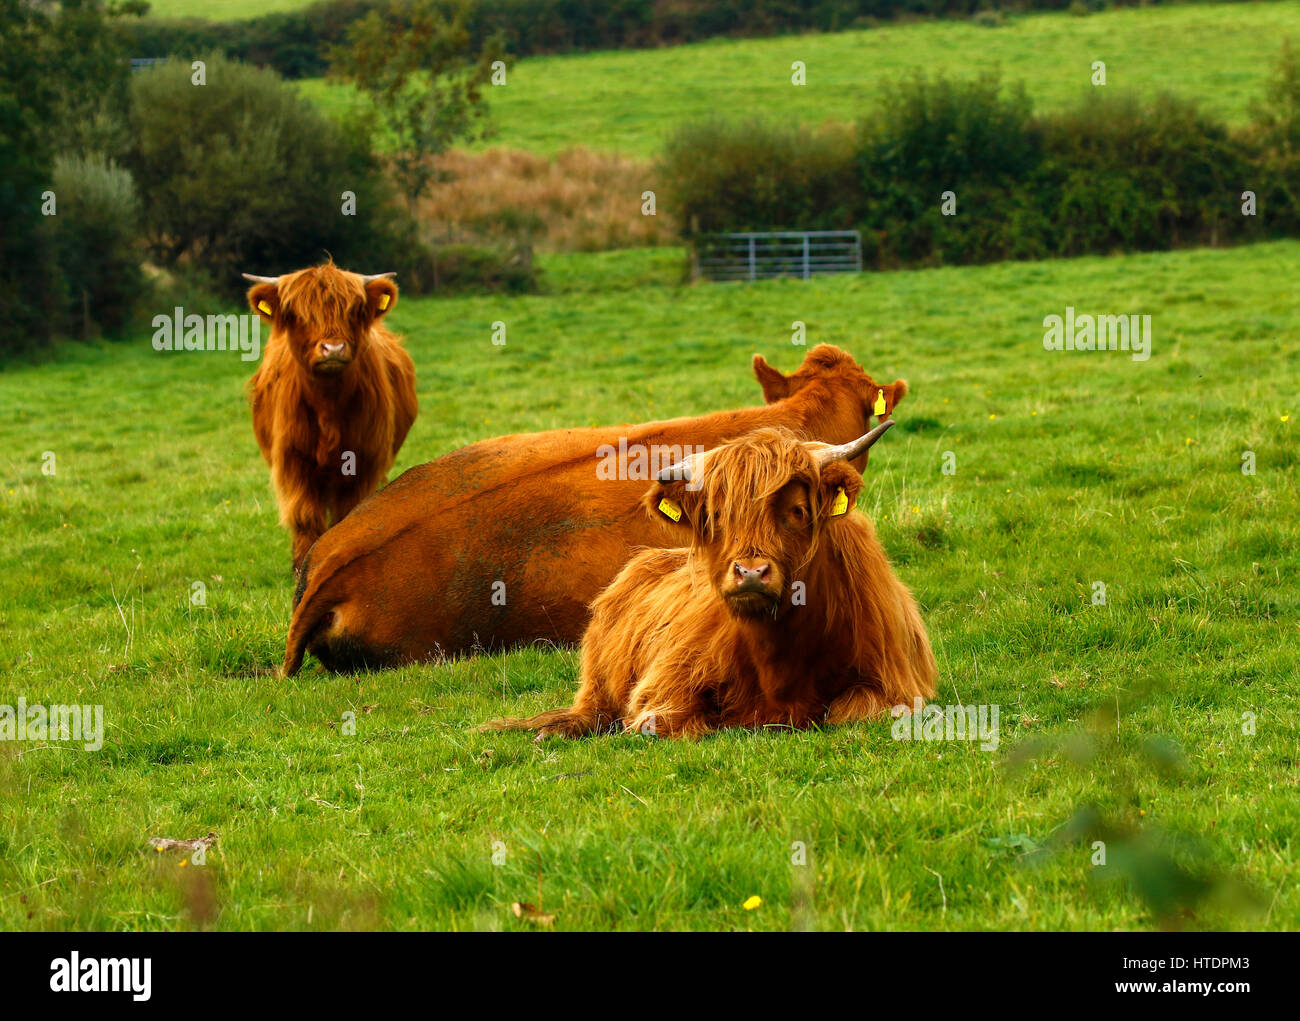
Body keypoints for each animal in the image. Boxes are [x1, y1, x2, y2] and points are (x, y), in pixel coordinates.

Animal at [245, 262, 418, 572]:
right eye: (295, 313)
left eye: (355, 309)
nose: (333, 349)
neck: (327, 406)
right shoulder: (293, 462)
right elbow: (305, 517)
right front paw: (302, 567)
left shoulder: (363, 461)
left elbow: (348, 515)